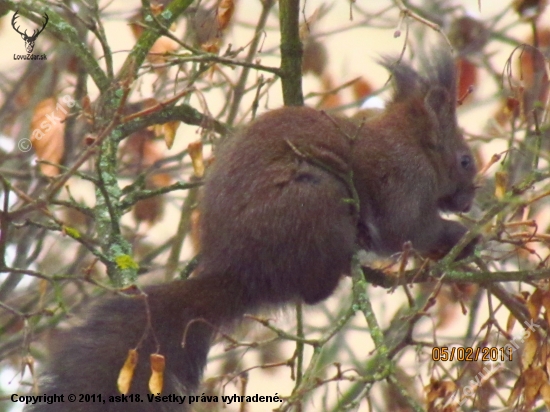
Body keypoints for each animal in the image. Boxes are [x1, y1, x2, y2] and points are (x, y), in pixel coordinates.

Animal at [27, 49, 478, 412]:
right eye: (466, 160)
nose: (470, 200)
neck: (412, 142)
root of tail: (240, 272)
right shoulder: (404, 179)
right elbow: (408, 229)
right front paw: (463, 238)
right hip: (316, 203)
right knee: (313, 289)